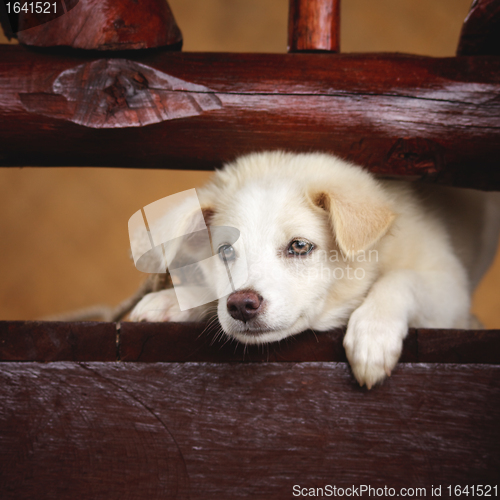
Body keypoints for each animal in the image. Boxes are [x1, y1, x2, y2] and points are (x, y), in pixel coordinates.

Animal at [130, 152, 500, 390]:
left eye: (299, 246)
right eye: (226, 251)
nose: (241, 305)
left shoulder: (450, 288)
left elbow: (402, 278)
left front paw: (373, 333)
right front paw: (170, 301)